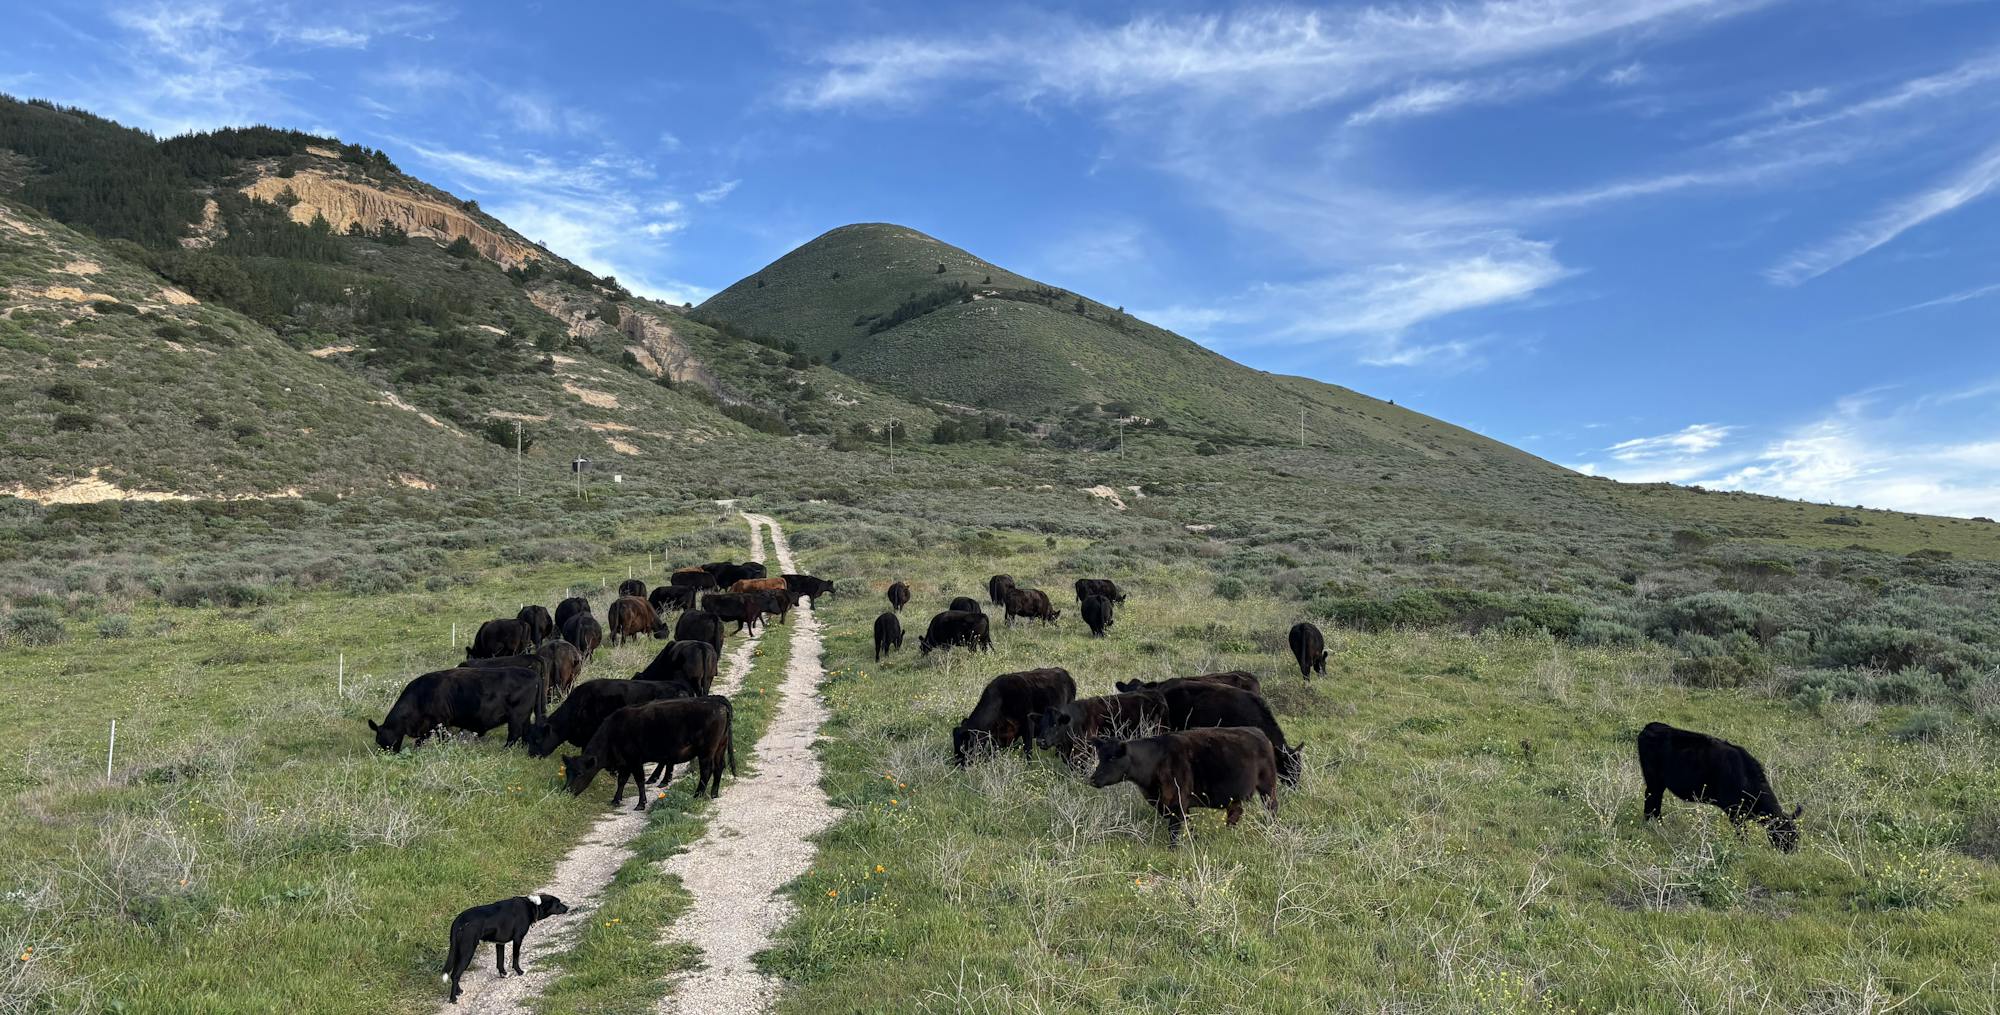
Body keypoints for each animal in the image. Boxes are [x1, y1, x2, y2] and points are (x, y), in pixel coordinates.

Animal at [368, 667, 544, 753]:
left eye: (380, 740)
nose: (386, 756)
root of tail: (533, 674)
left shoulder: (441, 724)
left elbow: (442, 740)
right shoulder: (429, 726)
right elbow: (420, 741)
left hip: (517, 716)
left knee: (514, 735)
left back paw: (504, 751)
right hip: (525, 716)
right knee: (525, 732)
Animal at [441, 894, 570, 1004]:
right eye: (558, 903)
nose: (568, 908)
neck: (532, 906)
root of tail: (458, 921)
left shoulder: (500, 943)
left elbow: (500, 961)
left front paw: (503, 974)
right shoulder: (517, 939)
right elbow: (515, 957)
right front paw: (519, 972)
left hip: (459, 951)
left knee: (454, 974)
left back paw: (459, 991)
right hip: (467, 951)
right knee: (455, 974)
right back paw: (453, 999)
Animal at [561, 696, 735, 809]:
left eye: (579, 773)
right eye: (567, 772)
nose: (566, 792)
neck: (613, 732)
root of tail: (717, 702)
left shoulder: (634, 760)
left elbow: (639, 780)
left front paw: (640, 804)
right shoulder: (624, 762)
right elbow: (622, 780)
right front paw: (616, 800)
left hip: (706, 750)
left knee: (707, 770)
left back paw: (697, 795)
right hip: (720, 746)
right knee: (719, 766)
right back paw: (714, 793)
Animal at [1088, 728, 1279, 846]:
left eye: (1113, 758)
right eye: (1100, 757)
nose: (1093, 779)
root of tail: (1259, 733)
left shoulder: (1177, 801)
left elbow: (1174, 828)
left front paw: (1172, 849)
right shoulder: (1171, 804)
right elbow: (1188, 823)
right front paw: (1195, 840)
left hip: (1267, 785)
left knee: (1272, 807)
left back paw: (1272, 829)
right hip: (1234, 795)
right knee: (1235, 811)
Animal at [1637, 722, 1801, 852]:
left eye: (1796, 836)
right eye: (1785, 834)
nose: (1791, 852)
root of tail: (1651, 726)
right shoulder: (1734, 811)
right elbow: (1742, 834)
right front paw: (1746, 848)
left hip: (1659, 782)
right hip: (1653, 779)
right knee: (1651, 797)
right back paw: (1653, 824)